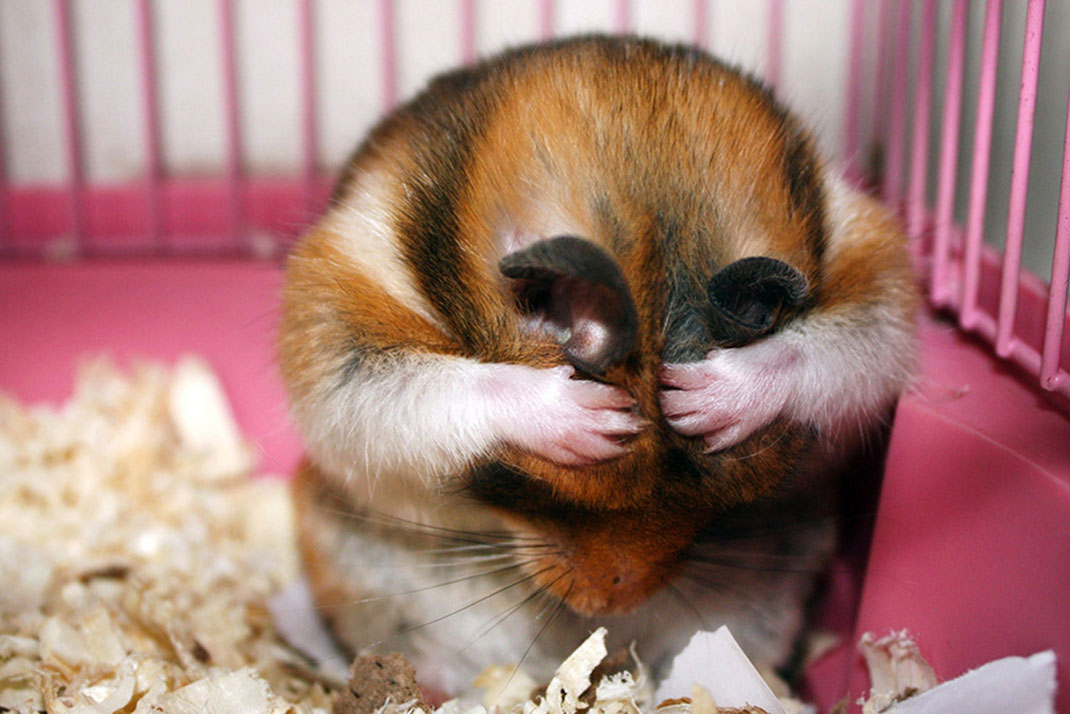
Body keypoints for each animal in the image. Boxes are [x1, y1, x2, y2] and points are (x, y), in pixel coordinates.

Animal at [279, 35, 917, 693]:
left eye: (728, 506)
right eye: (515, 485)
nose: (609, 605)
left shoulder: (878, 276)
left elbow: (831, 349)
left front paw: (698, 403)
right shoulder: (338, 328)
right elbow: (425, 386)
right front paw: (597, 421)